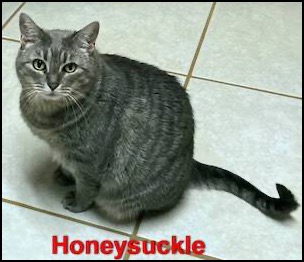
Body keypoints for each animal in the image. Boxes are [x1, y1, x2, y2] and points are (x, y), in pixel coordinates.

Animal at [15, 13, 298, 222]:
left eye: (70, 68)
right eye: (39, 64)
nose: (52, 84)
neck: (48, 116)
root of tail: (190, 162)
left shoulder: (90, 164)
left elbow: (86, 189)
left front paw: (76, 202)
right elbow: (65, 164)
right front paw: (63, 174)